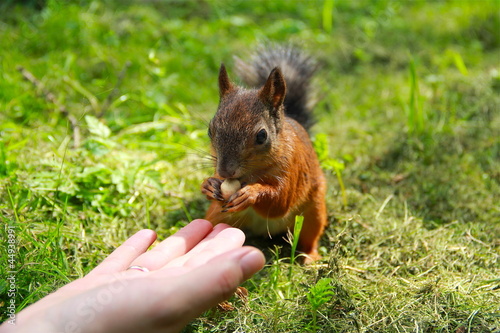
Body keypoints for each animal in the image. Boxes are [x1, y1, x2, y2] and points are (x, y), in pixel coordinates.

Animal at [201, 45, 326, 260]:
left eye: (261, 135)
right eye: (210, 130)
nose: (225, 172)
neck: (251, 175)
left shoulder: (292, 166)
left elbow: (280, 201)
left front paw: (251, 193)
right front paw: (208, 185)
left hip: (313, 213)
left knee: (310, 238)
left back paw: (310, 256)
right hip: (217, 214)